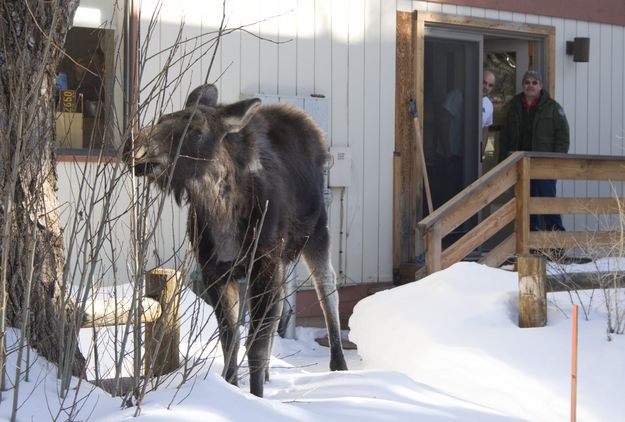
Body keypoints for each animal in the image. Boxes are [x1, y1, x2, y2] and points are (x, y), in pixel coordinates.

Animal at [124, 85, 348, 396]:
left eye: (196, 130)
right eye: (162, 119)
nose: (134, 148)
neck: (223, 212)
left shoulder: (263, 263)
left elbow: (255, 342)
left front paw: (256, 395)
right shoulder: (215, 271)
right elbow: (230, 337)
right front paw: (232, 384)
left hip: (316, 233)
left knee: (327, 288)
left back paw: (339, 363)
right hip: (282, 262)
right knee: (279, 311)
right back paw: (268, 374)